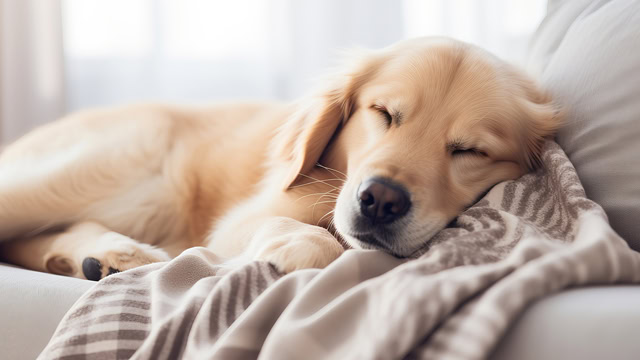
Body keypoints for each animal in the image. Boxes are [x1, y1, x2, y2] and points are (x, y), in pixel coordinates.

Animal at [0, 38, 560, 282]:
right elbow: (304, 235)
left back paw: (105, 256)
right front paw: (298, 246)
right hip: (108, 168)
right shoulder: (234, 226)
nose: (379, 201)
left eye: (470, 151)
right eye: (384, 113)